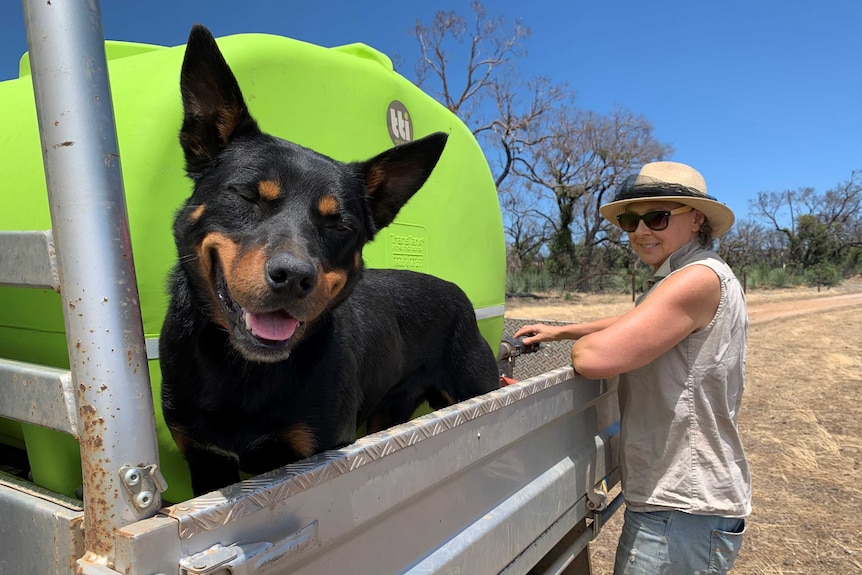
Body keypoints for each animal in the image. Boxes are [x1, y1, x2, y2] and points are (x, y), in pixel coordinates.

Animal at [159, 25, 502, 496]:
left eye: (339, 224)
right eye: (248, 195)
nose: (292, 277)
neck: (245, 371)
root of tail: (459, 294)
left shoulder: (318, 449)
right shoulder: (206, 460)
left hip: (473, 387)